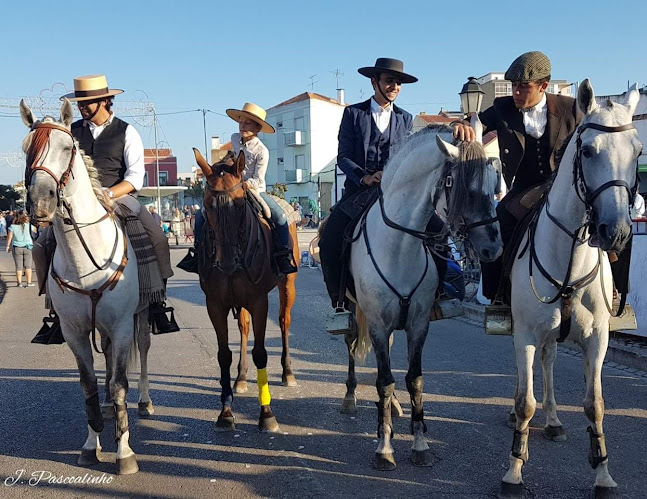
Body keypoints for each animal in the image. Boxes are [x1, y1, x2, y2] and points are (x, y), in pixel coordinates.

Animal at [20, 98, 154, 476]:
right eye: (26, 149)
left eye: (68, 148)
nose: (41, 201)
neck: (86, 260)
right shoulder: (74, 330)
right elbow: (89, 384)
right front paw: (90, 445)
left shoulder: (122, 325)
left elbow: (120, 383)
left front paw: (124, 452)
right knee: (106, 358)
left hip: (140, 318)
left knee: (142, 351)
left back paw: (145, 401)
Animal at [194, 148, 300, 434]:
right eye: (207, 205)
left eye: (240, 205)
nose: (228, 262)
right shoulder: (215, 304)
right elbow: (223, 355)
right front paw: (225, 412)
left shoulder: (259, 301)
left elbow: (261, 353)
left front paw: (267, 414)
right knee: (243, 328)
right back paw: (241, 378)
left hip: (288, 286)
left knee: (284, 322)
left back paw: (288, 373)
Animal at [502, 80, 644, 498]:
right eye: (587, 150)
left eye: (638, 151)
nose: (617, 232)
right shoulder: (525, 334)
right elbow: (525, 401)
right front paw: (514, 469)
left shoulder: (597, 339)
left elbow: (594, 404)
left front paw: (602, 473)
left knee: (548, 362)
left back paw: (553, 420)